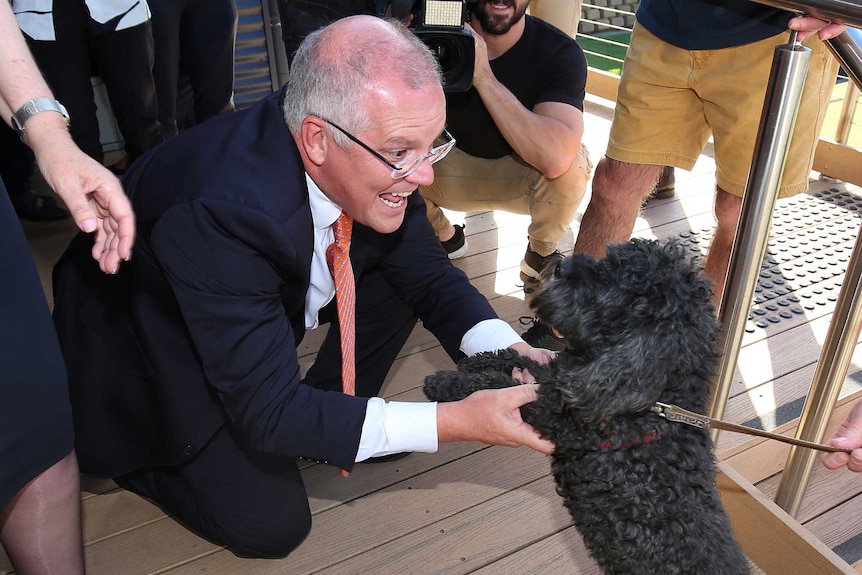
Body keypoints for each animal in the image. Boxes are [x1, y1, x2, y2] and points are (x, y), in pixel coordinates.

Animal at [428, 240, 752, 575]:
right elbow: (519, 358)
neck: (656, 405)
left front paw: (444, 382)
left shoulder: (553, 412)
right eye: (607, 262)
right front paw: (474, 362)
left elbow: (501, 384)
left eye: (617, 286)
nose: (561, 266)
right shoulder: (562, 377)